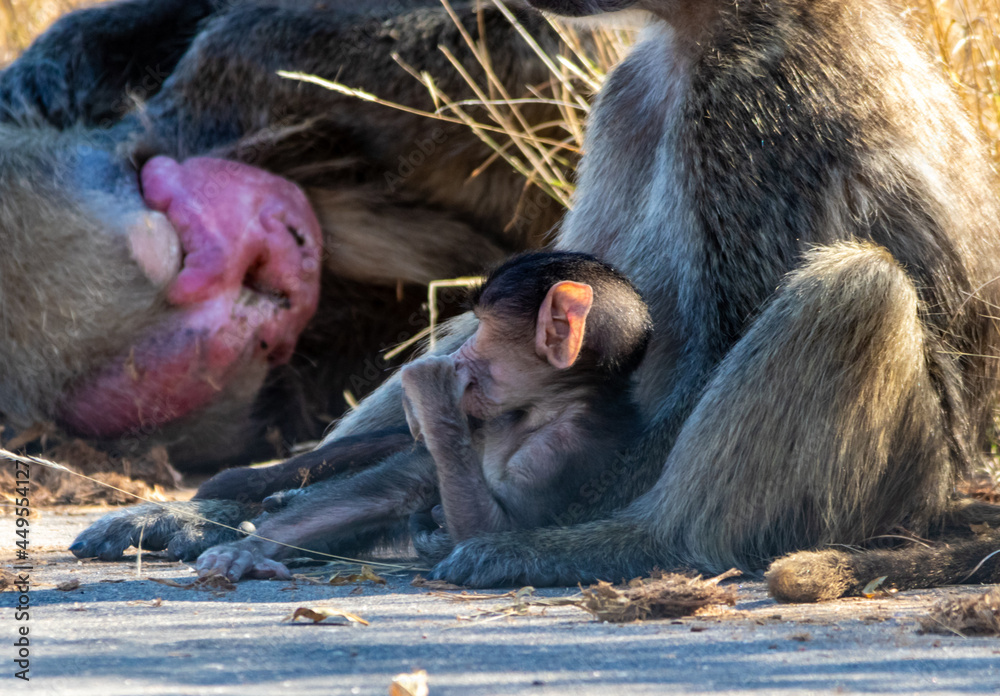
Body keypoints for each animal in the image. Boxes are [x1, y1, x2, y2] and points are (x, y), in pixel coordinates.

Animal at [190, 250, 652, 579]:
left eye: (484, 328)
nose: (461, 354)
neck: (541, 408)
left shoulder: (566, 444)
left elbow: (493, 529)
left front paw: (432, 390)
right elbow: (397, 487)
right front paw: (247, 550)